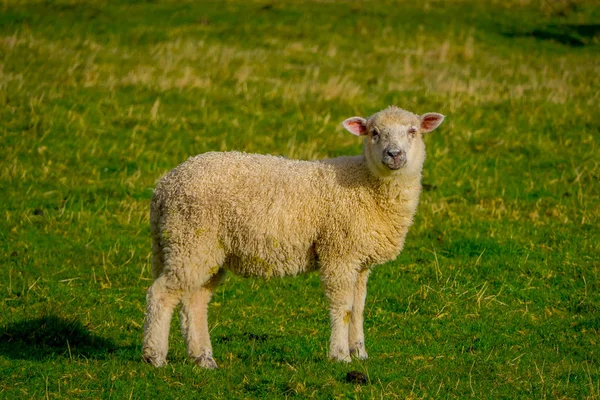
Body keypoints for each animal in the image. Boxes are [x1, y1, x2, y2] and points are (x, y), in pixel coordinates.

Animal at [143, 104, 446, 368]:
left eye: (413, 131)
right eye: (374, 132)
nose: (394, 154)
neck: (368, 184)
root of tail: (164, 187)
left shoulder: (360, 261)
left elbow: (358, 308)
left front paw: (359, 352)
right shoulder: (339, 253)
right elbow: (343, 307)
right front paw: (340, 355)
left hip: (198, 247)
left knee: (194, 301)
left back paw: (203, 358)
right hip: (191, 239)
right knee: (161, 294)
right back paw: (154, 356)